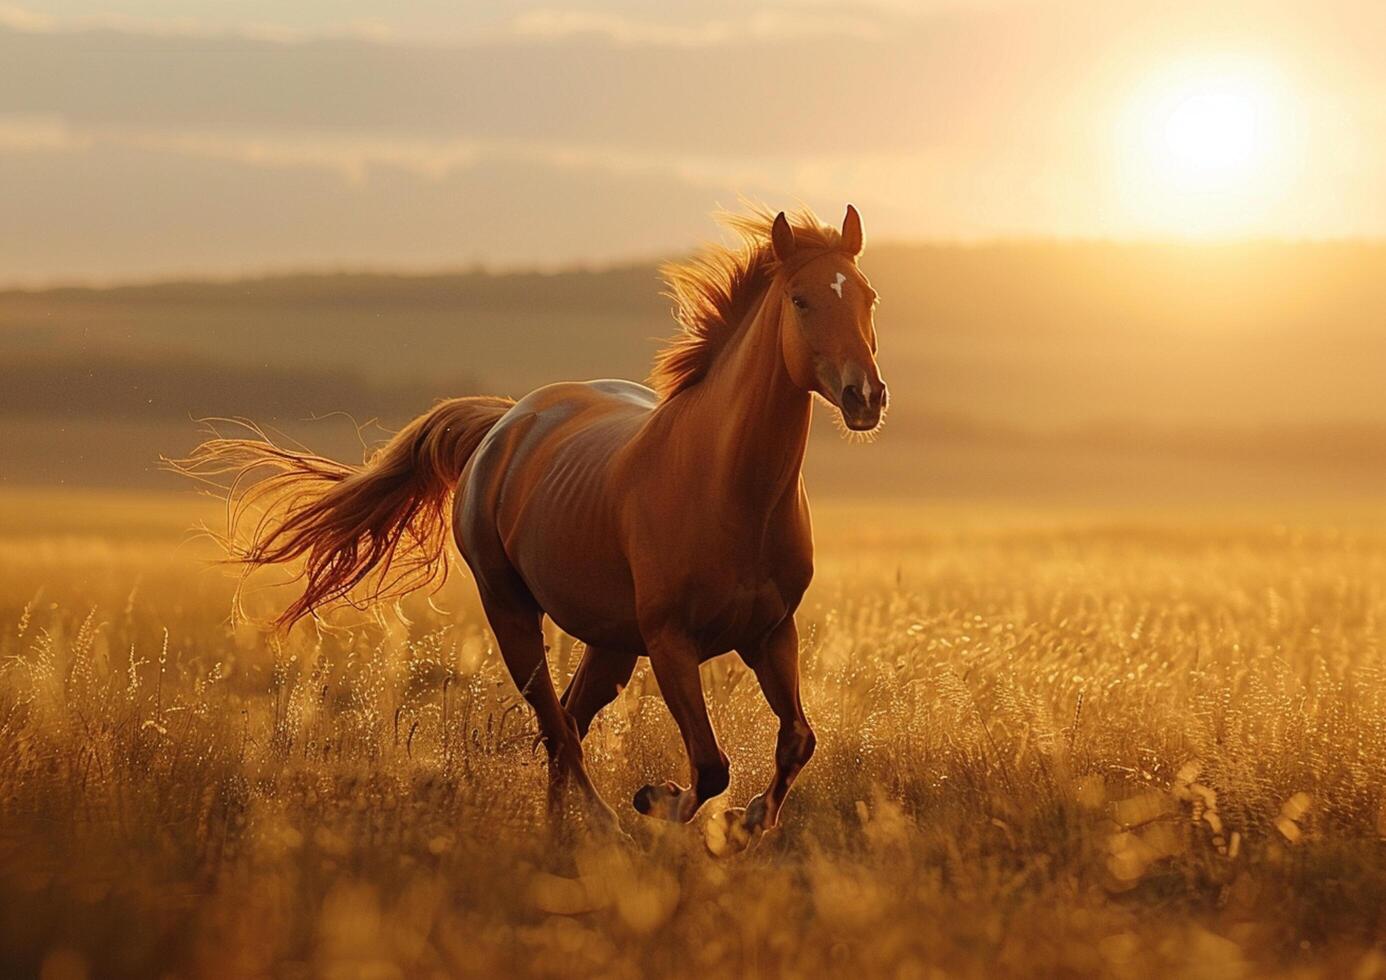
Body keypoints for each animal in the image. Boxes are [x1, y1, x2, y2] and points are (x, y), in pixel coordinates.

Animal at [173, 203, 887, 848]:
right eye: (799, 299)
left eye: (870, 297)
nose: (866, 397)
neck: (725, 486)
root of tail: (506, 421)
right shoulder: (671, 641)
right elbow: (710, 767)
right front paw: (657, 801)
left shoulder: (771, 632)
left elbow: (797, 741)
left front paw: (745, 822)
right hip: (513, 613)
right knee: (558, 726)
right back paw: (599, 827)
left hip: (611, 640)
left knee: (568, 717)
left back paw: (560, 832)